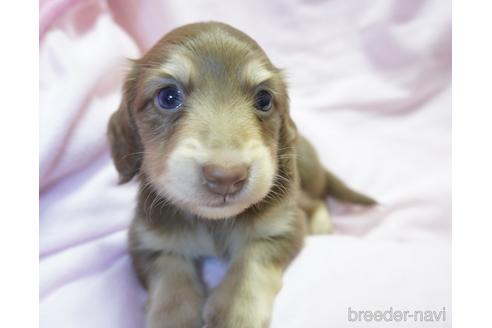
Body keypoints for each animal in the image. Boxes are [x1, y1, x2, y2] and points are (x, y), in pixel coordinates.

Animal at [108, 21, 376, 326]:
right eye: (168, 96)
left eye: (264, 99)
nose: (226, 177)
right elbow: (170, 281)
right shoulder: (148, 241)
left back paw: (322, 226)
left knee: (317, 200)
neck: (214, 223)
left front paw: (235, 312)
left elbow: (251, 263)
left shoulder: (283, 226)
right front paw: (173, 317)